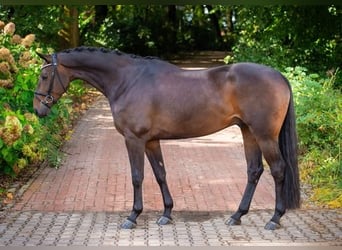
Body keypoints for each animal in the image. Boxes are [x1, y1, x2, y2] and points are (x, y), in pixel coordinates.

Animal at [32, 46, 300, 230]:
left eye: (44, 77)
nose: (37, 110)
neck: (127, 80)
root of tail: (279, 75)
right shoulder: (151, 141)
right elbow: (160, 174)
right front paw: (166, 214)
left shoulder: (134, 139)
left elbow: (137, 177)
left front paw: (133, 216)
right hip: (248, 132)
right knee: (254, 171)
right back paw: (236, 216)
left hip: (264, 135)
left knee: (278, 169)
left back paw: (274, 218)